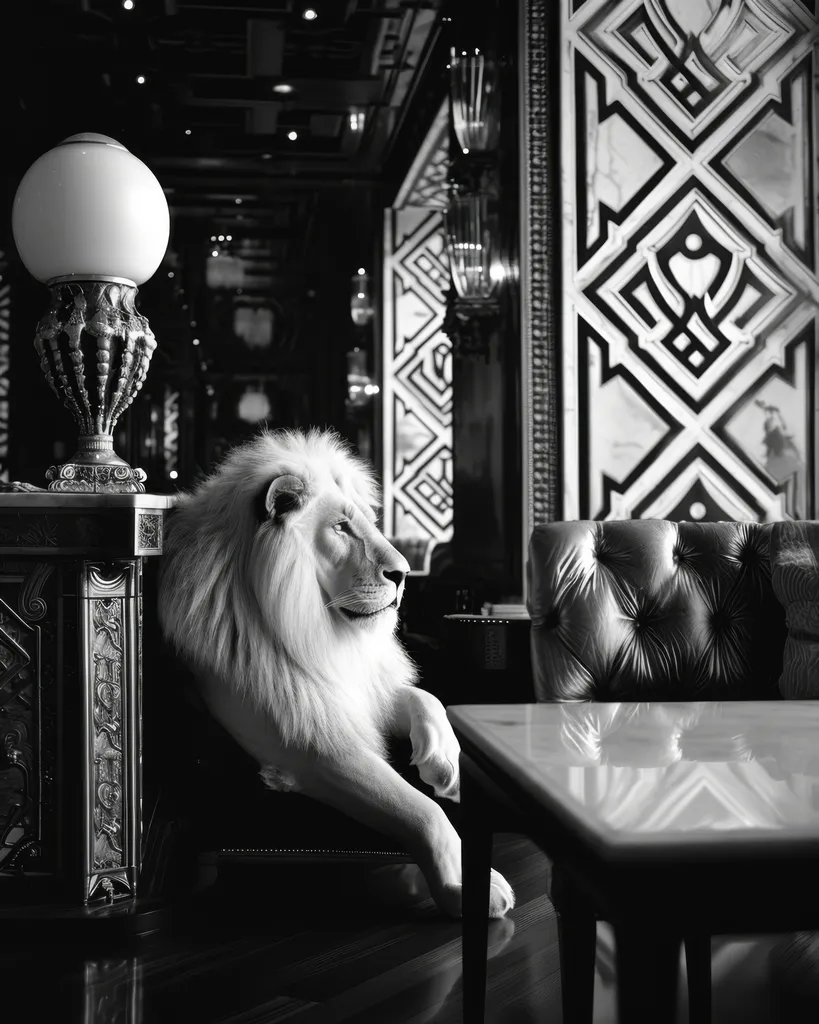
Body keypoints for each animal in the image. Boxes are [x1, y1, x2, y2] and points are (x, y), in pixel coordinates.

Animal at [157, 427, 514, 920]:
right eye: (341, 527)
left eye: (366, 521)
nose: (404, 573)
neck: (316, 633)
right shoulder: (313, 751)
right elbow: (423, 813)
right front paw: (463, 890)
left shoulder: (350, 690)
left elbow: (423, 697)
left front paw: (445, 764)